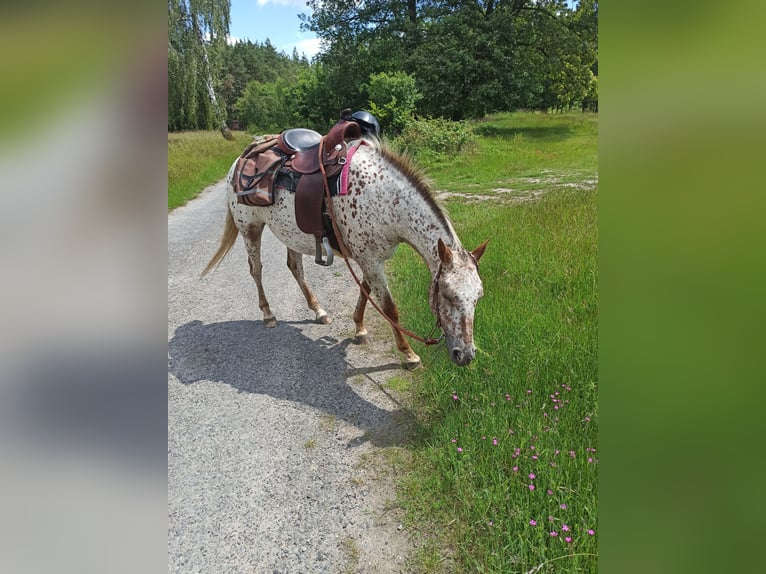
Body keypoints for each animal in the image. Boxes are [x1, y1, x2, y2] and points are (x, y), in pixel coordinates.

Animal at [202, 137, 488, 368]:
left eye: (478, 297)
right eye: (447, 295)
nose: (465, 355)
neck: (382, 199)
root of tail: (241, 158)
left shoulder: (370, 257)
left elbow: (365, 291)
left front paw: (359, 329)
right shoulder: (370, 260)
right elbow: (389, 308)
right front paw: (408, 354)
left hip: (290, 233)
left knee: (295, 267)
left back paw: (319, 311)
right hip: (250, 228)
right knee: (256, 270)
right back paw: (269, 314)